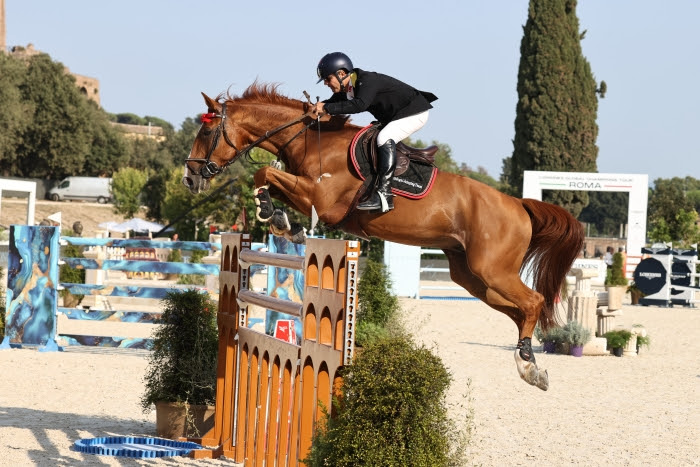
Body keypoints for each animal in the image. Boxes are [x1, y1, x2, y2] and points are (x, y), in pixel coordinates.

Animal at [185, 84, 584, 392]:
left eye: (205, 133)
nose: (190, 177)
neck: (312, 141)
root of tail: (518, 204)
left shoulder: (321, 200)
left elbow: (265, 173)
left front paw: (272, 214)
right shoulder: (307, 193)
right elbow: (268, 179)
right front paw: (283, 220)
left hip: (492, 270)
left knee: (532, 302)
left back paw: (528, 365)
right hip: (471, 276)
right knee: (518, 311)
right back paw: (529, 365)